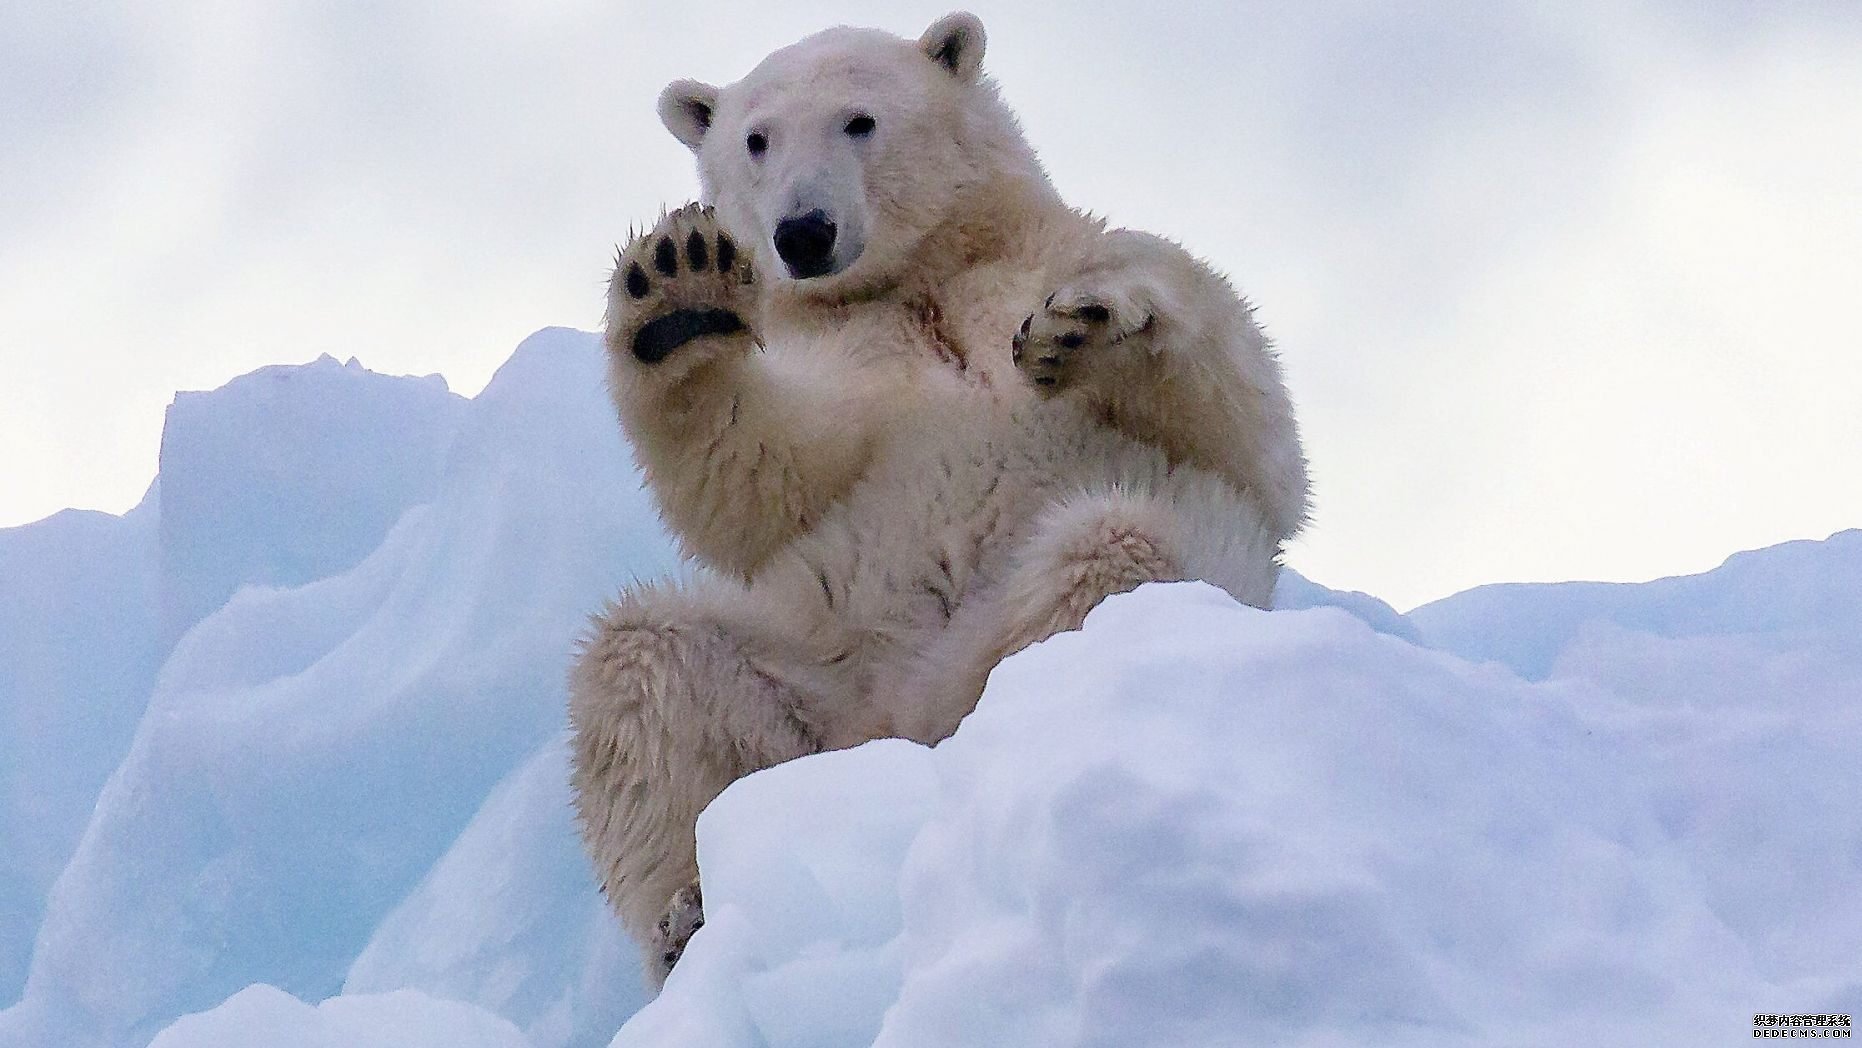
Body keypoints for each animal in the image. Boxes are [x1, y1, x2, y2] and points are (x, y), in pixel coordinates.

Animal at [566, 12, 1310, 990]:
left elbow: (1250, 436)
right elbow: (766, 475)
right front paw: (678, 292)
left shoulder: (1024, 277)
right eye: (756, 140)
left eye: (860, 120)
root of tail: (903, 731)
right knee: (640, 669)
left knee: (1111, 551)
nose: (803, 233)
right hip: (814, 690)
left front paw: (1091, 318)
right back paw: (684, 918)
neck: (922, 282)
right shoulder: (847, 365)